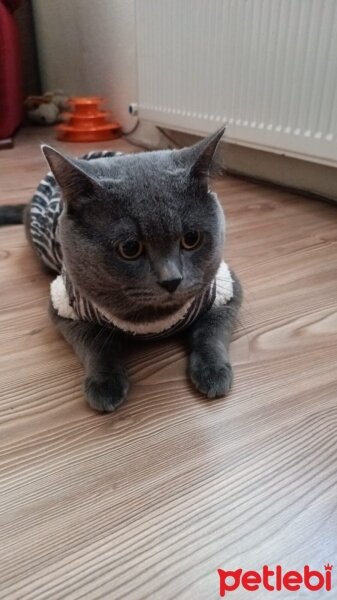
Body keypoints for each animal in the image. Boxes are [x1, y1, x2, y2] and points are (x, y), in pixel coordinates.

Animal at [0, 128, 242, 410]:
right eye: (129, 248)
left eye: (191, 238)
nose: (171, 280)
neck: (153, 321)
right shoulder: (64, 305)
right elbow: (95, 344)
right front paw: (105, 384)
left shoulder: (226, 288)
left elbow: (210, 330)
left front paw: (213, 372)